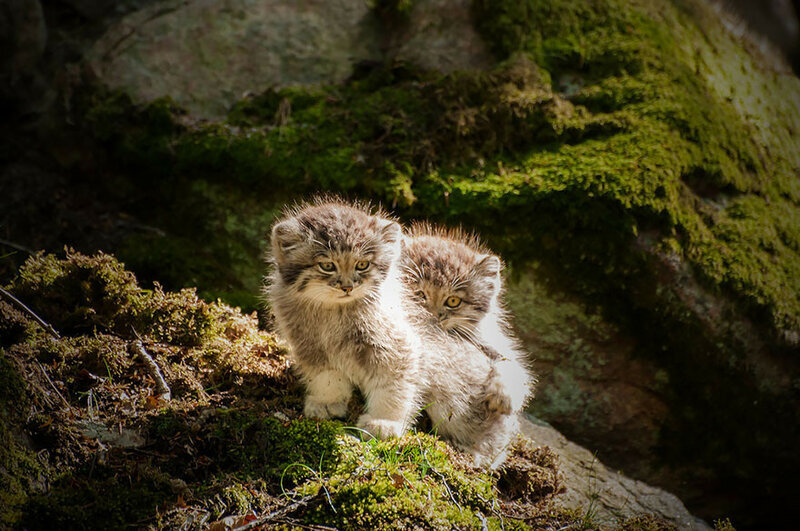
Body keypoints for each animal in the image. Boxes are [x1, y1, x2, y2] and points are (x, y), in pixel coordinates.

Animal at [404, 222, 536, 418]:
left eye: (453, 301)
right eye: (419, 294)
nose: (433, 317)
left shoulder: (495, 344)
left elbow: (513, 366)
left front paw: (503, 395)